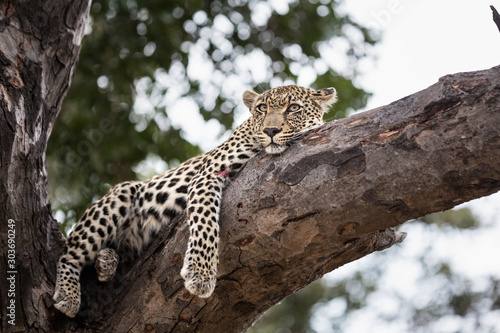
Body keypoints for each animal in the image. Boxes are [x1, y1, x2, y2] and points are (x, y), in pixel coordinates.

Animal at [52, 83, 338, 316]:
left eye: (293, 108)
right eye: (262, 109)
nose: (270, 129)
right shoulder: (208, 173)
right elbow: (205, 222)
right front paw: (200, 275)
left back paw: (106, 262)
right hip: (123, 192)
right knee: (69, 254)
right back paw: (68, 295)